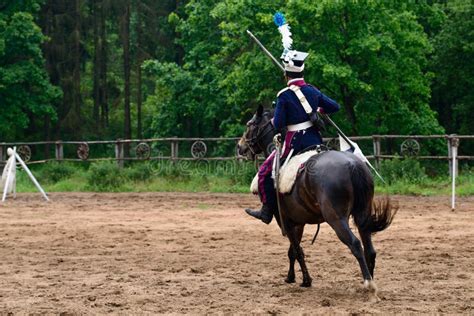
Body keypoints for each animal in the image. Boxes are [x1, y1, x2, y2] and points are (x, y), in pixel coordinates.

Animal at [237, 105, 396, 302]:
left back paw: (369, 285)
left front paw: (306, 280)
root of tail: (352, 165)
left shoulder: (285, 221)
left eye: (249, 124)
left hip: (336, 219)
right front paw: (291, 277)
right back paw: (369, 284)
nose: (240, 146)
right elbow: (293, 251)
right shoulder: (299, 222)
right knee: (370, 250)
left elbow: (297, 250)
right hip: (362, 216)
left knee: (355, 244)